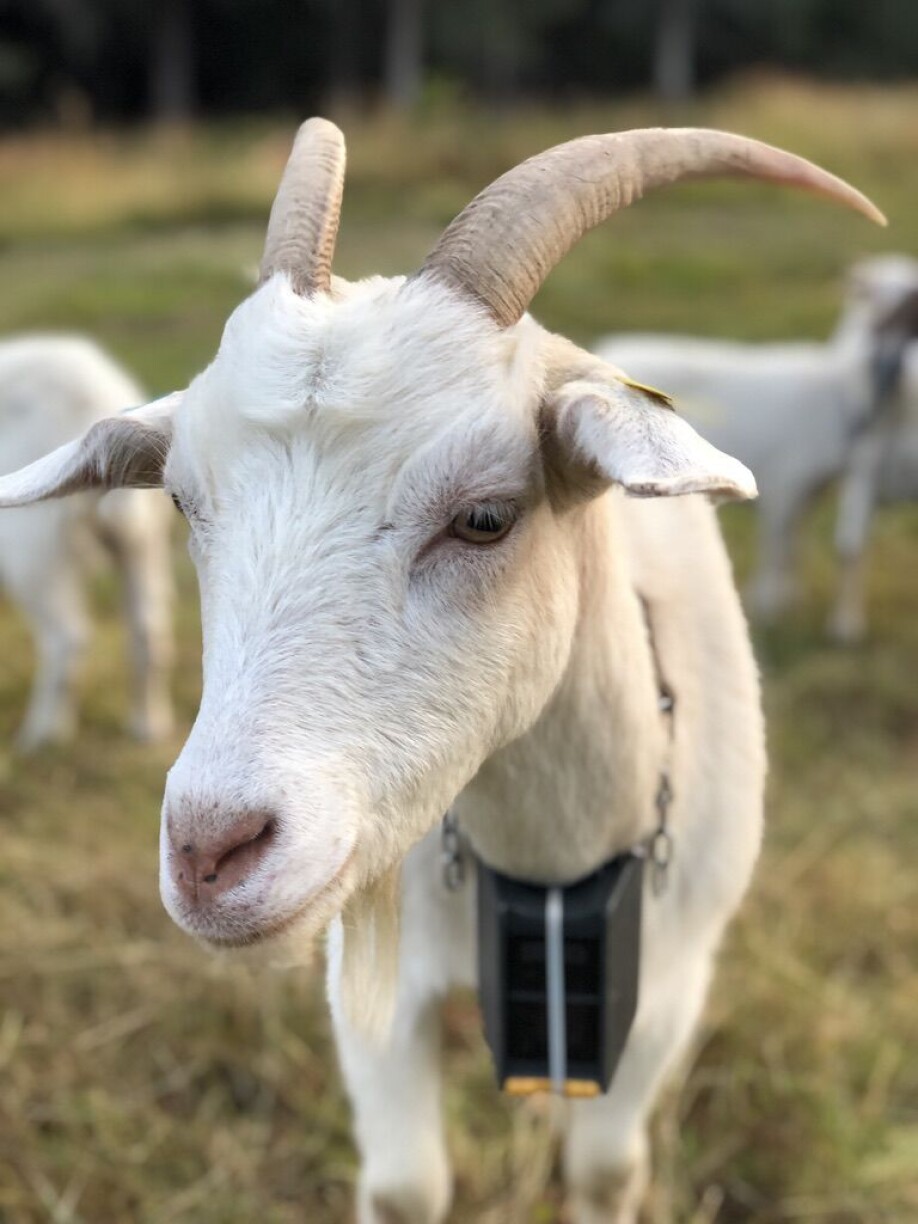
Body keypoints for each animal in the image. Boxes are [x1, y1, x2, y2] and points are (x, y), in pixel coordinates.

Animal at [0, 336, 174, 748]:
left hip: (34, 547)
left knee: (68, 639)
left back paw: (43, 735)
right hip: (144, 545)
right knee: (149, 633)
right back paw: (149, 728)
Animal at [595, 253, 918, 640]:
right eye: (872, 293)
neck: (836, 386)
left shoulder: (806, 493)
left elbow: (795, 547)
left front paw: (788, 601)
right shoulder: (784, 486)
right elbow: (778, 551)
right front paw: (770, 609)